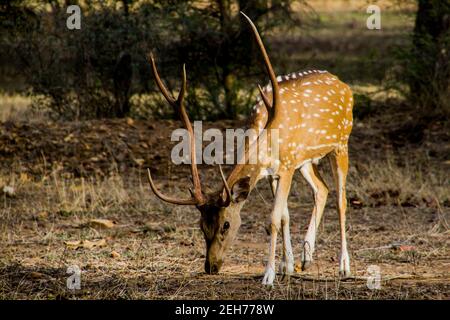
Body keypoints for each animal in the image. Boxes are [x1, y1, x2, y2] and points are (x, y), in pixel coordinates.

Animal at [146, 12, 354, 286]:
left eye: (226, 224)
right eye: (201, 225)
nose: (210, 266)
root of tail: (345, 85)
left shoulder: (287, 165)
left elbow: (273, 219)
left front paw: (269, 275)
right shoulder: (275, 172)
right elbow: (285, 216)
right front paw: (287, 267)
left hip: (341, 143)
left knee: (342, 200)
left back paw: (344, 267)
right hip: (307, 159)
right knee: (322, 189)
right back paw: (306, 258)